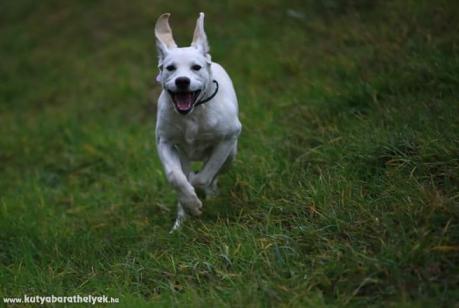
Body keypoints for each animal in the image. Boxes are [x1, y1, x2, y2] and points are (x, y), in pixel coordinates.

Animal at [155, 13, 243, 232]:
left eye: (196, 67)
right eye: (170, 68)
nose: (182, 81)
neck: (192, 116)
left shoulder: (228, 139)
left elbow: (205, 177)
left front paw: (197, 188)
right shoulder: (164, 142)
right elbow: (175, 177)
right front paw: (191, 203)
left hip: (231, 154)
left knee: (215, 173)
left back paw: (210, 194)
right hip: (184, 158)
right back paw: (181, 220)